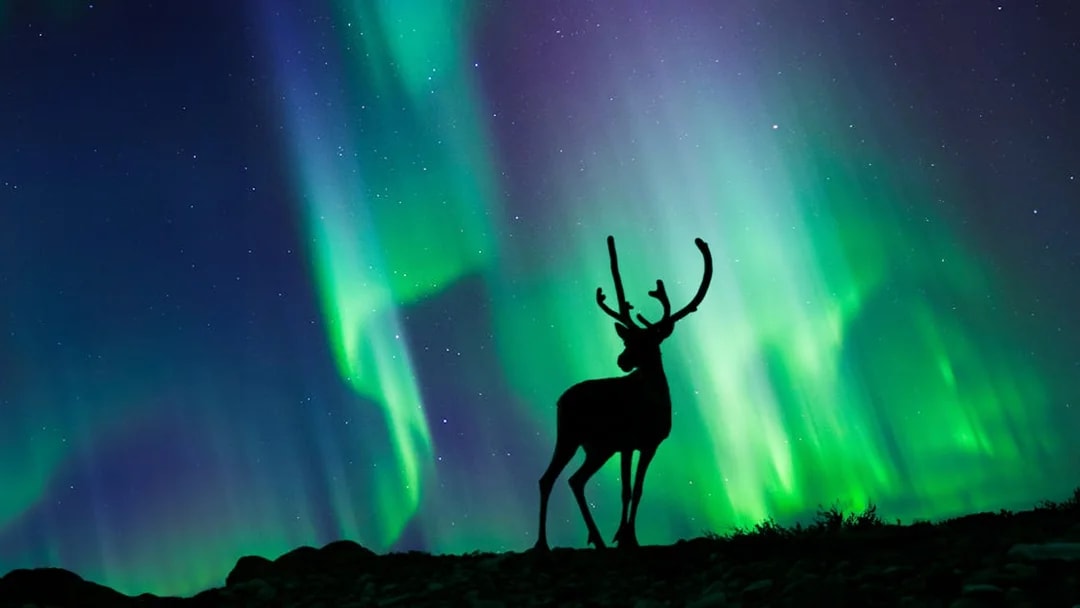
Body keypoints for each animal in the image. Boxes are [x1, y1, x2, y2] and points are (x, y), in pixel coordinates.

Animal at [534, 235, 712, 551]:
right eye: (628, 340)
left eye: (647, 342)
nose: (622, 360)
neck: (652, 404)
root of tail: (560, 400)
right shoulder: (627, 443)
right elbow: (626, 490)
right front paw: (624, 536)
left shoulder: (650, 444)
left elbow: (638, 489)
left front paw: (629, 536)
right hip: (574, 437)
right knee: (556, 479)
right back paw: (553, 542)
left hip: (594, 446)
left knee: (568, 479)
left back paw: (587, 539)